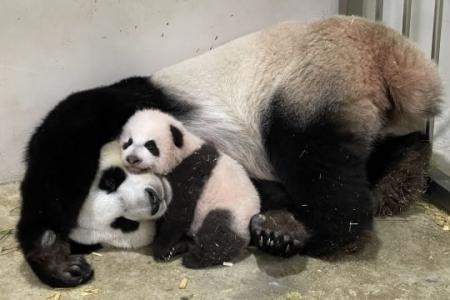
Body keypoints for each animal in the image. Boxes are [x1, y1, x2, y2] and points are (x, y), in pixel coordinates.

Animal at [120, 109, 260, 268]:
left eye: (150, 146)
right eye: (128, 142)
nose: (132, 159)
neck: (183, 153)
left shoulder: (192, 171)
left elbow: (179, 212)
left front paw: (161, 248)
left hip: (233, 212)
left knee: (219, 232)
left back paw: (194, 258)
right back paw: (181, 247)